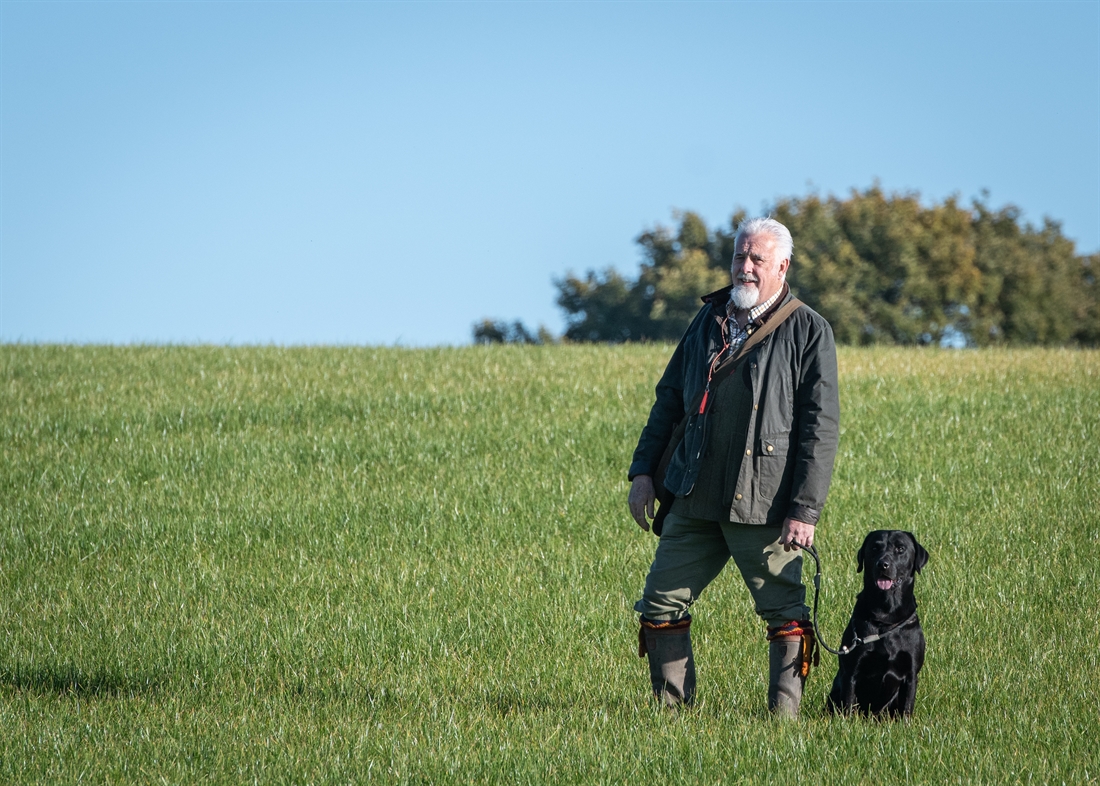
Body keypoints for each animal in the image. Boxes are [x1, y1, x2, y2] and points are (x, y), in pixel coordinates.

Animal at [827, 529, 928, 721]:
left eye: (901, 548)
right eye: (874, 548)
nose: (883, 565)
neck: (886, 619)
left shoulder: (911, 674)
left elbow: (907, 708)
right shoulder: (851, 672)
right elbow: (848, 704)